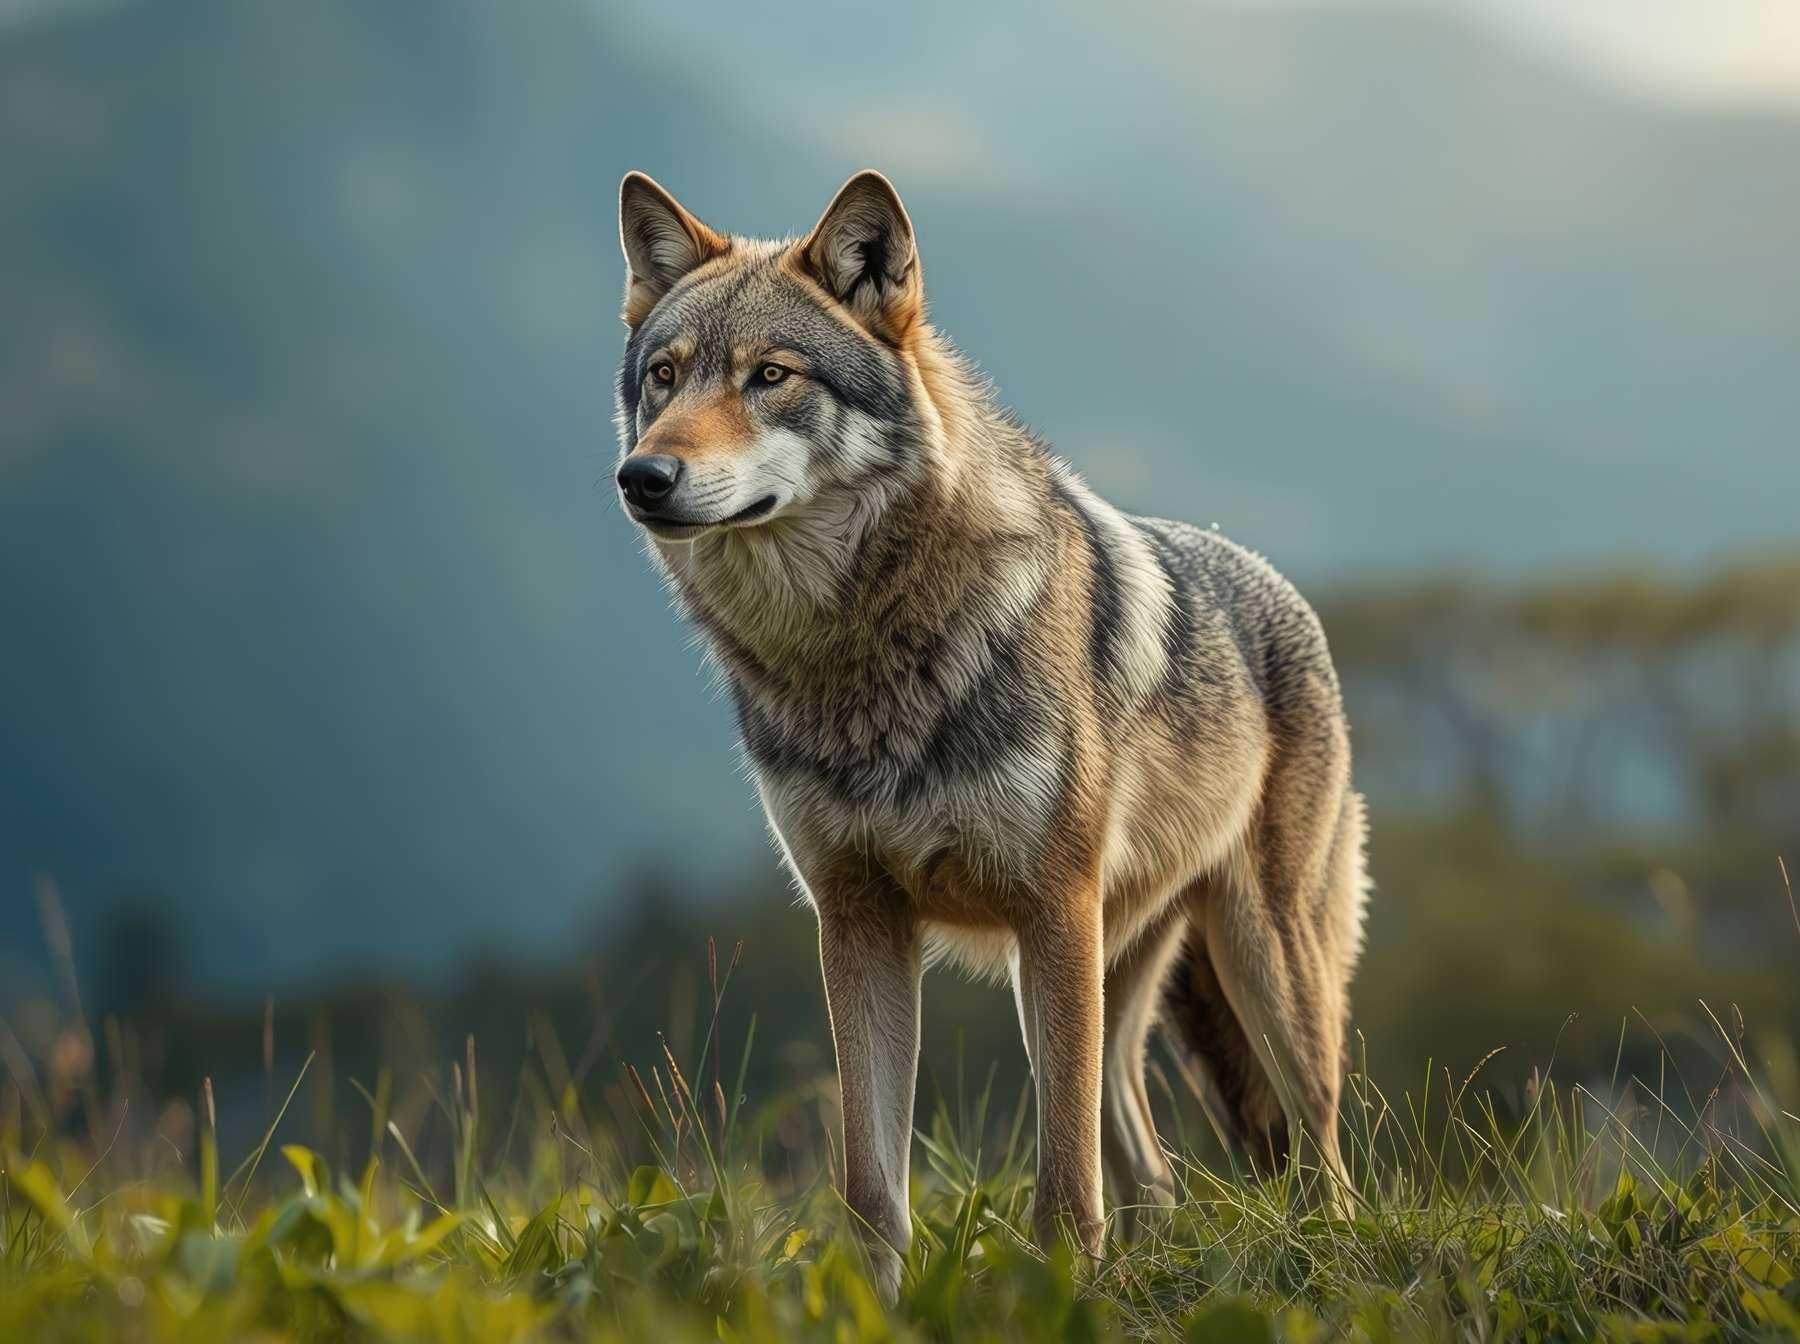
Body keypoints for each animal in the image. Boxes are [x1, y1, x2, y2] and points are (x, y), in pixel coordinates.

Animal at [611, 170, 1369, 1299]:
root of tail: (1283, 590)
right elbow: (872, 1186)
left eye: (770, 376)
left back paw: (1330, 1261)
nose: (642, 476)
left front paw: (1059, 1298)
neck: (860, 651)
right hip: (1105, 982)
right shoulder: (859, 922)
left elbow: (1061, 1179)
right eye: (663, 378)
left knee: (1319, 1144)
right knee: (1149, 1164)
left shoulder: (1050, 906)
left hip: (1256, 965)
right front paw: (877, 1309)